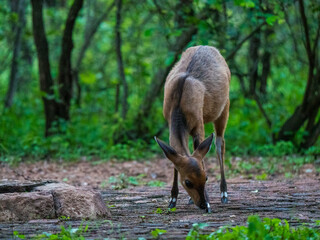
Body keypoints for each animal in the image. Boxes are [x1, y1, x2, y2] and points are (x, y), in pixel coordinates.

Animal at [154, 45, 230, 212]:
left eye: (206, 177)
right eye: (188, 182)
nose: (203, 204)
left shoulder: (199, 123)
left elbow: (200, 152)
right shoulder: (169, 122)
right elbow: (174, 157)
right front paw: (172, 200)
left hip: (225, 106)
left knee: (220, 143)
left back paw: (224, 194)